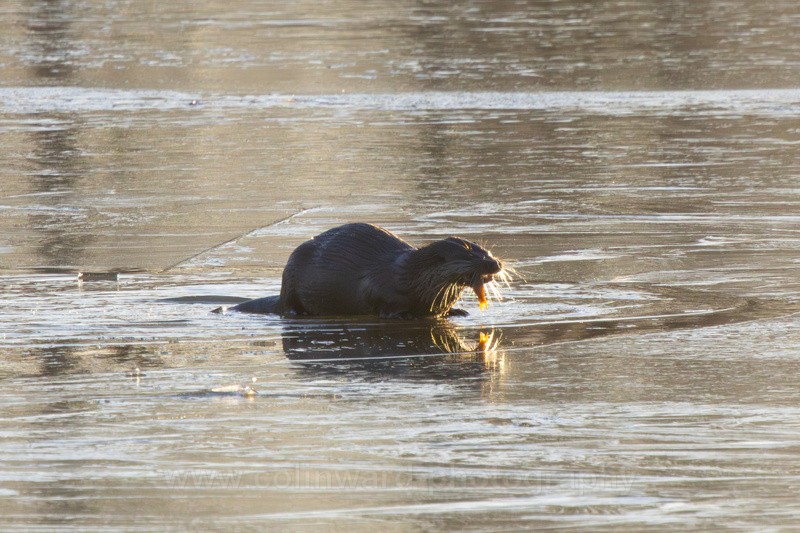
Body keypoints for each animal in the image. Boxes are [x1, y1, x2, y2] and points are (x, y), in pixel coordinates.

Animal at [226, 223, 505, 319]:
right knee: (289, 307)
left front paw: (457, 311)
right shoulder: (380, 287)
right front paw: (406, 315)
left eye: (485, 250)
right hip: (292, 279)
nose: (496, 264)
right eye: (470, 254)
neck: (410, 277)